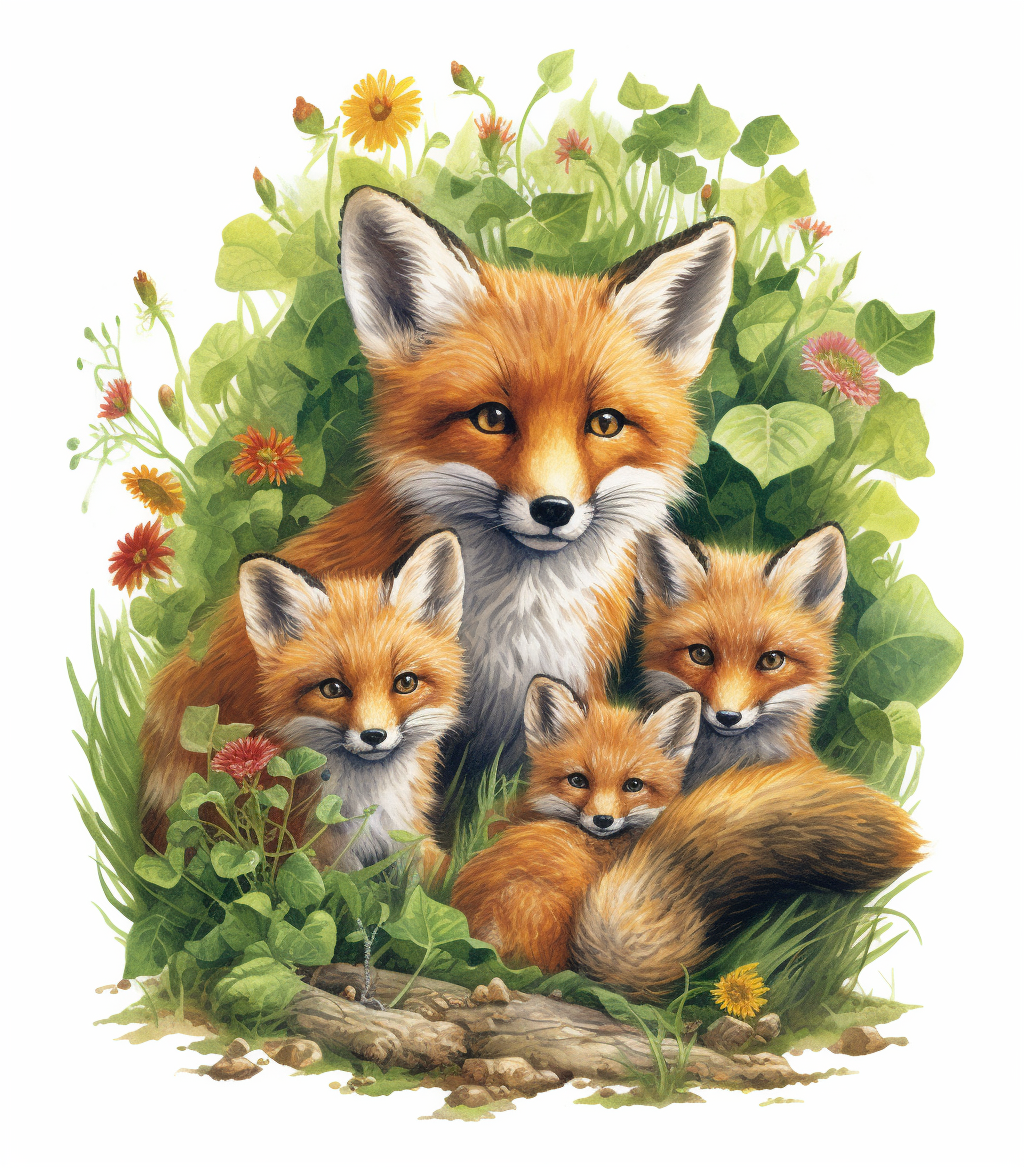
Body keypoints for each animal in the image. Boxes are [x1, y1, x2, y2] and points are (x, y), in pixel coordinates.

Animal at [235, 530, 465, 871]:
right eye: (332, 689)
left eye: (406, 682)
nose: (374, 736)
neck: (372, 807)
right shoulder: (324, 854)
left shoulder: (410, 838)